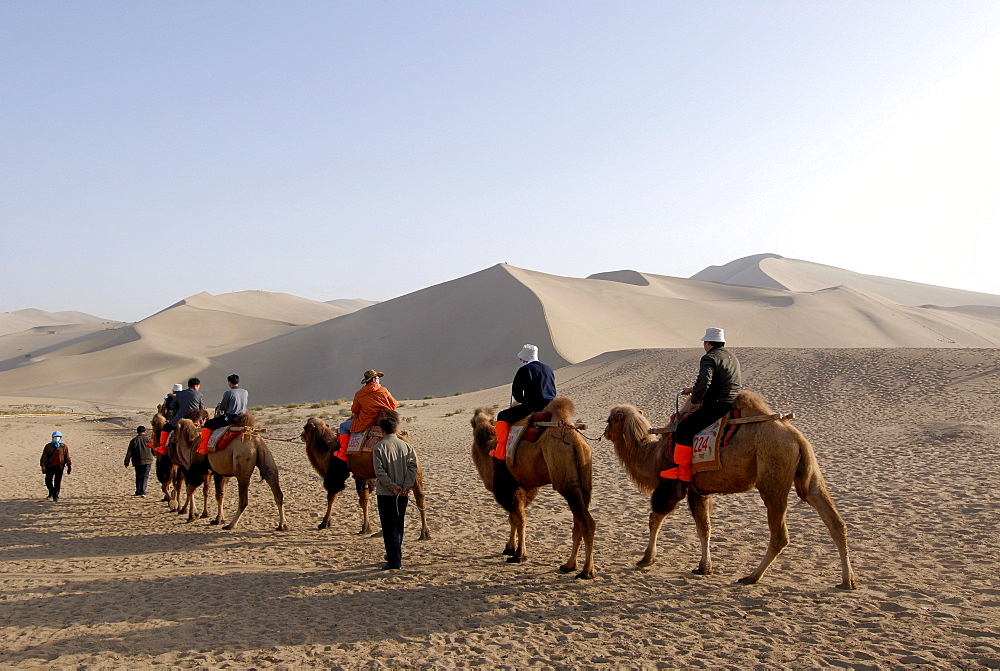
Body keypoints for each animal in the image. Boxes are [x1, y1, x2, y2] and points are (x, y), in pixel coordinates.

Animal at [300, 412, 434, 544]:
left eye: (305, 427)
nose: (301, 435)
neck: (328, 448)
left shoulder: (337, 472)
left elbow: (332, 497)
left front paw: (324, 523)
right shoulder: (361, 476)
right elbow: (364, 500)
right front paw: (366, 528)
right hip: (414, 468)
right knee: (419, 496)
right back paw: (424, 534)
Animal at [468, 396, 592, 580]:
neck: (488, 447)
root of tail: (575, 440)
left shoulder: (508, 488)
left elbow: (519, 519)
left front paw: (519, 555)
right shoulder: (523, 486)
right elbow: (513, 519)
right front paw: (510, 548)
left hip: (566, 481)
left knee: (586, 523)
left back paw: (586, 571)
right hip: (584, 481)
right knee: (578, 523)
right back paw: (569, 565)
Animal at [600, 392, 860, 592]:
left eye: (610, 419)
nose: (603, 432)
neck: (652, 454)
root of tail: (797, 438)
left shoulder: (672, 483)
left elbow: (656, 519)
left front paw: (646, 559)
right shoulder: (699, 490)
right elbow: (704, 528)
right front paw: (704, 567)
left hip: (773, 477)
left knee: (780, 534)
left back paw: (751, 577)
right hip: (809, 474)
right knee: (835, 521)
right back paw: (847, 581)